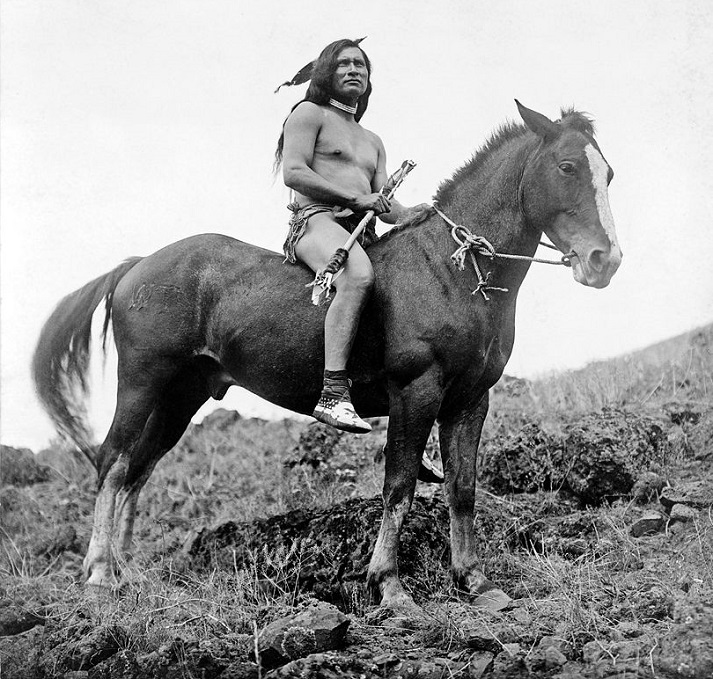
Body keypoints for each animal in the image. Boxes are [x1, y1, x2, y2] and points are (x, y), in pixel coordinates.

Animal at [33, 102, 620, 612]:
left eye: (608, 173)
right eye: (567, 166)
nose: (604, 260)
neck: (451, 271)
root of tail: (139, 265)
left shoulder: (471, 400)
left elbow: (463, 489)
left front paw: (473, 581)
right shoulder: (416, 391)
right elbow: (400, 487)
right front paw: (389, 586)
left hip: (181, 396)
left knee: (138, 470)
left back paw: (125, 570)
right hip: (142, 382)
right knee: (112, 462)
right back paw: (99, 573)